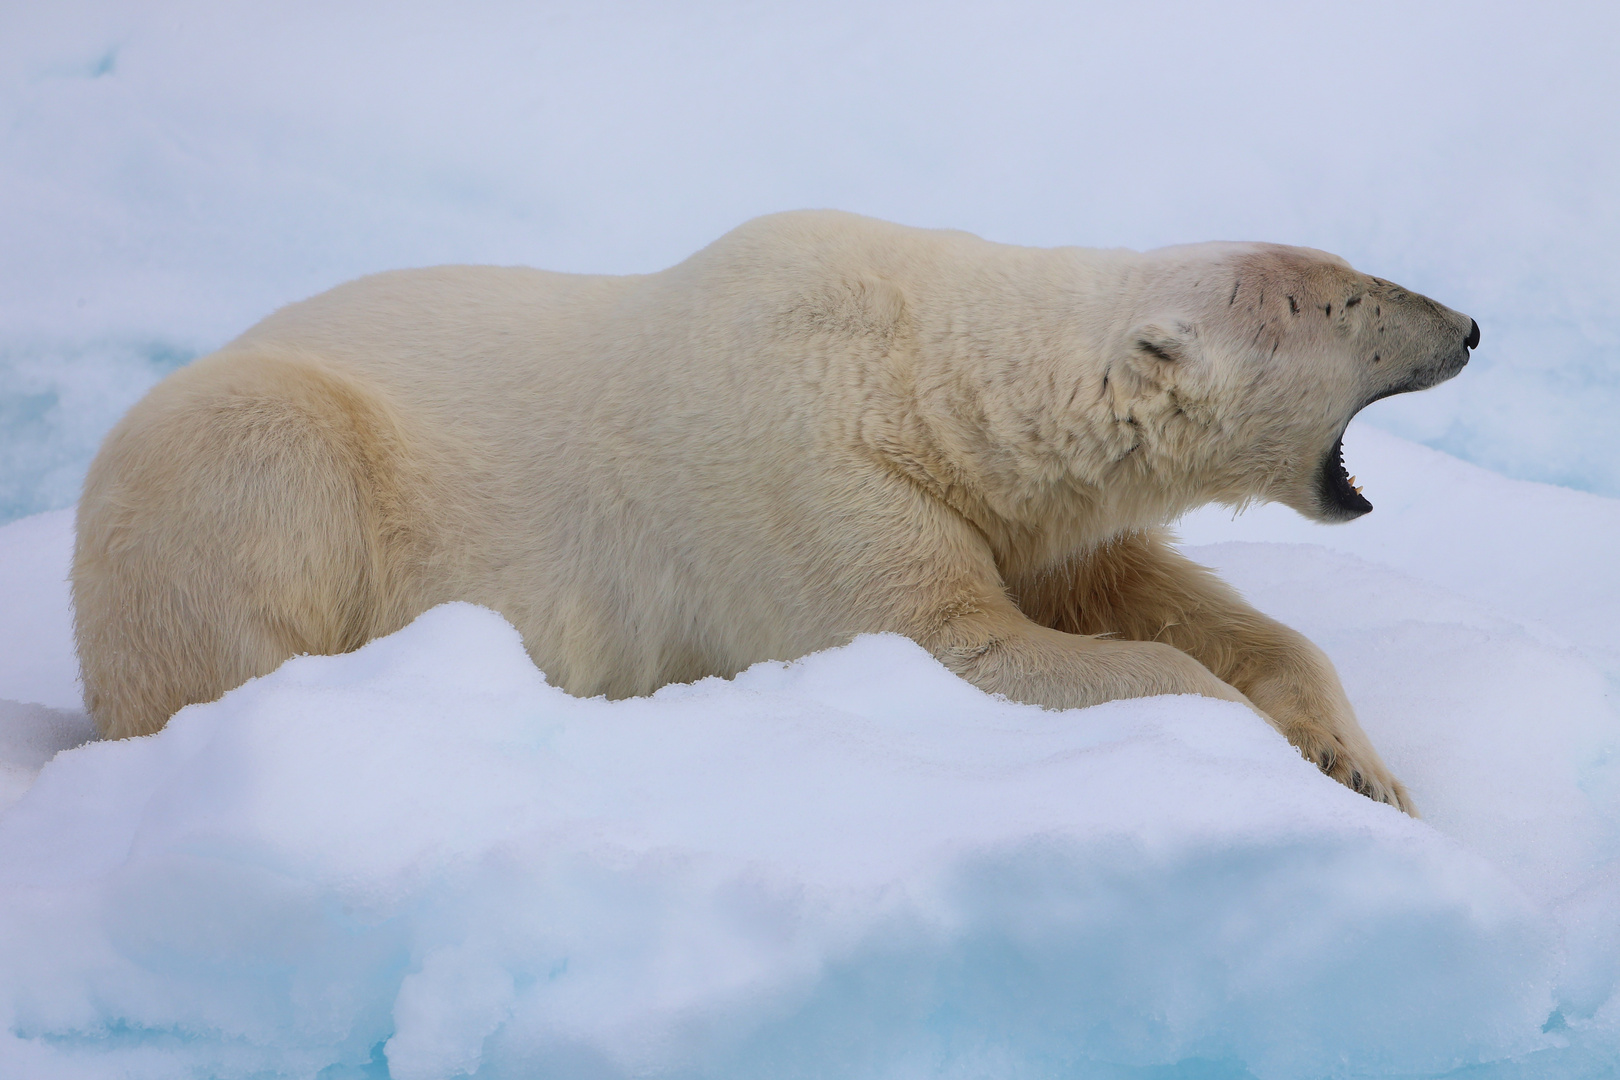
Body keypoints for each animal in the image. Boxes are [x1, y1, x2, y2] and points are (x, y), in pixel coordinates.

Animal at [76, 213, 1477, 809]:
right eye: (1350, 300)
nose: (1468, 324)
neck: (925, 376)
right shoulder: (820, 480)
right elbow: (957, 643)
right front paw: (1264, 746)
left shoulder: (1034, 515)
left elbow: (1170, 600)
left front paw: (1358, 761)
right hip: (243, 456)